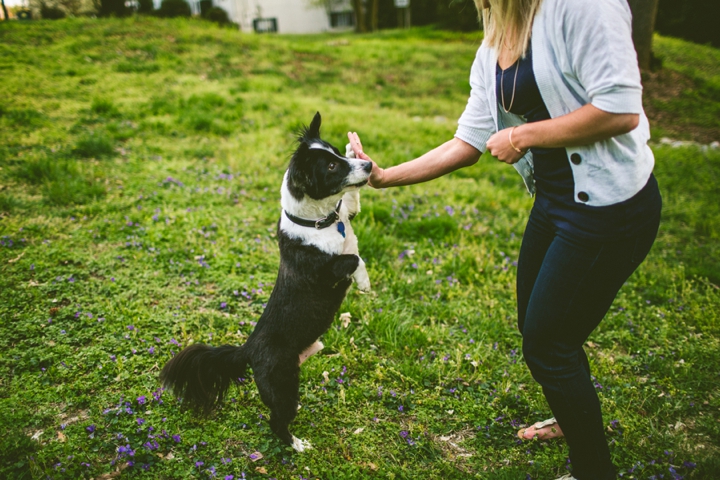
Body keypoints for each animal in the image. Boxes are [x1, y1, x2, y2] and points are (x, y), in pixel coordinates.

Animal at [158, 111, 372, 450]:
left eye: (337, 153)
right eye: (331, 167)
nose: (370, 166)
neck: (319, 222)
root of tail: (247, 349)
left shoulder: (347, 211)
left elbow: (351, 200)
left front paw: (355, 148)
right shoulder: (321, 271)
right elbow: (352, 258)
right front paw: (363, 282)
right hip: (282, 383)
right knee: (276, 421)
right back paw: (296, 444)